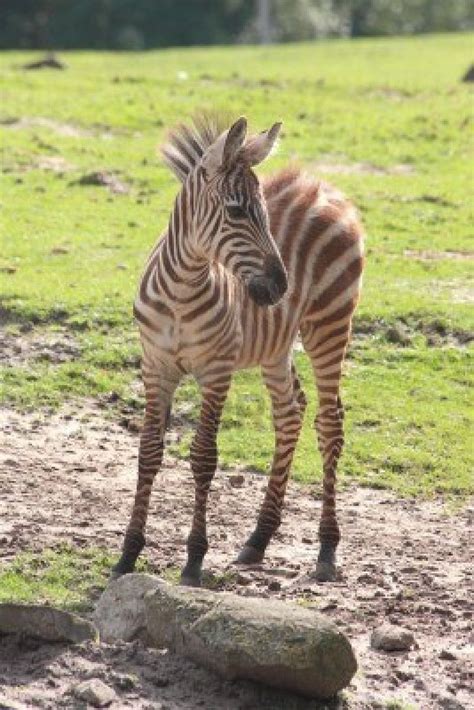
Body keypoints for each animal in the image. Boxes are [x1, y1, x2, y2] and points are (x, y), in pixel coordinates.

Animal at [113, 114, 364, 588]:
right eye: (235, 211)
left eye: (264, 212)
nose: (281, 288)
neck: (181, 289)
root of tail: (318, 184)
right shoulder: (155, 365)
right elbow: (148, 453)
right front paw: (128, 555)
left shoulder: (216, 369)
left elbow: (203, 457)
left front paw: (194, 560)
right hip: (276, 344)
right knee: (290, 414)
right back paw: (258, 539)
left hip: (329, 324)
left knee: (330, 424)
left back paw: (326, 549)